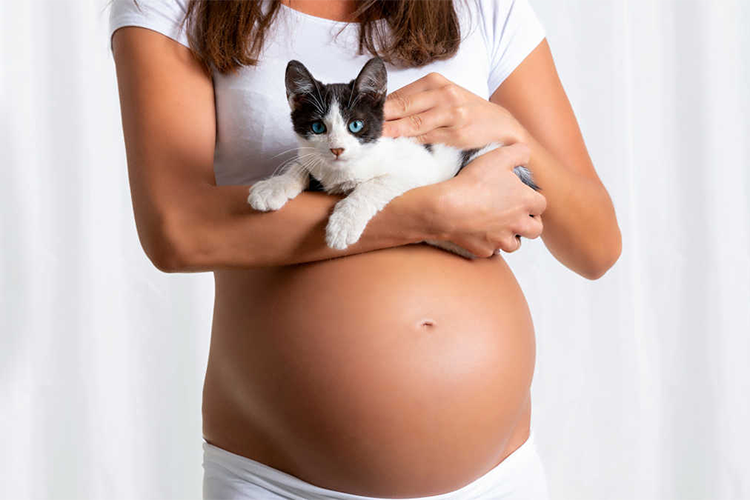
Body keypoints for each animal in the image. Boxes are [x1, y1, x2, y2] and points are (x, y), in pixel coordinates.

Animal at [248, 57, 540, 260]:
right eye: (318, 127)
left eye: (356, 125)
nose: (337, 150)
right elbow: (301, 164)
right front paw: (273, 187)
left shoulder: (417, 165)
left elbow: (375, 184)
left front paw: (343, 224)